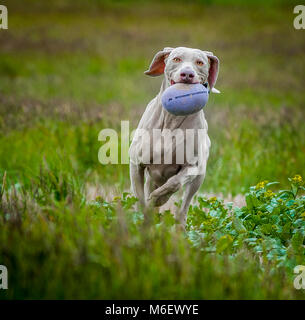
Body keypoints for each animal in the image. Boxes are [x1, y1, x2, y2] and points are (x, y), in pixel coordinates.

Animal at [128, 47, 218, 228]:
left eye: (200, 62)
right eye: (176, 59)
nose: (187, 74)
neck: (172, 120)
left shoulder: (192, 166)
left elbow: (174, 183)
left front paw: (159, 198)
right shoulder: (136, 164)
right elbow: (140, 199)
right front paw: (144, 218)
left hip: (198, 179)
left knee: (183, 207)